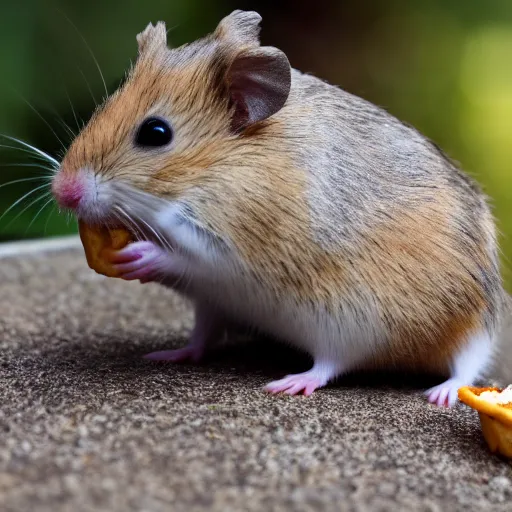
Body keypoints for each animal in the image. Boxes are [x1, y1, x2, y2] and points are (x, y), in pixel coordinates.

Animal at [52, 10, 504, 406]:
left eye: (156, 132)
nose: (62, 192)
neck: (213, 175)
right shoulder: (213, 291)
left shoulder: (237, 252)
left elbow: (189, 256)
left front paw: (143, 254)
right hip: (220, 307)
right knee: (202, 338)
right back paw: (171, 355)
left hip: (378, 324)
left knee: (434, 363)